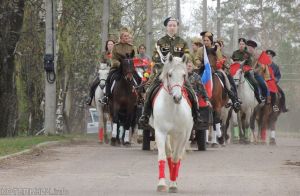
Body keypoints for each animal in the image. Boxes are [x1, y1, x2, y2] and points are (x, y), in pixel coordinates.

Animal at [149, 53, 193, 193]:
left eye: (184, 75)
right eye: (169, 74)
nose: (177, 98)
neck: (172, 109)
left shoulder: (182, 135)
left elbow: (175, 158)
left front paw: (173, 184)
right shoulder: (160, 133)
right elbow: (163, 157)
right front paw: (162, 184)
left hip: (185, 135)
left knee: (176, 157)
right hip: (168, 135)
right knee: (168, 154)